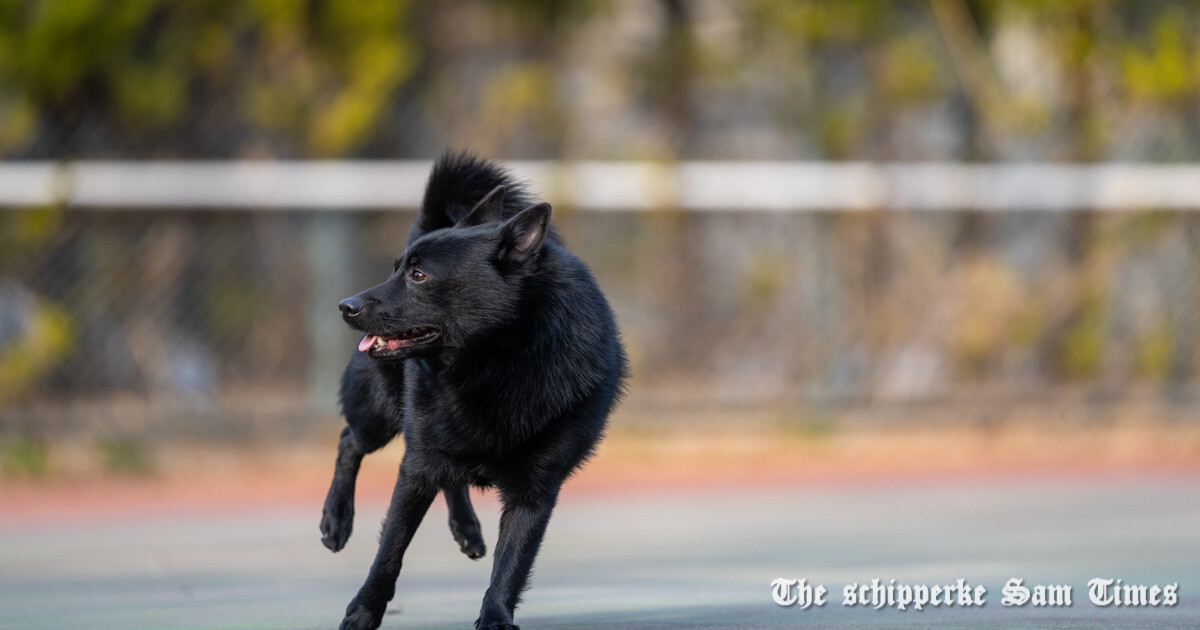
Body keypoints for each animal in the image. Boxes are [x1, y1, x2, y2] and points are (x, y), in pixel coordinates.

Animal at [324, 152, 633, 628]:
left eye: (418, 275)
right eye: (396, 269)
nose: (346, 306)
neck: (496, 365)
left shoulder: (535, 491)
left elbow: (511, 564)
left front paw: (495, 618)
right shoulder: (416, 468)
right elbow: (389, 551)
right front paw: (362, 612)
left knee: (447, 476)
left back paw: (466, 529)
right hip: (381, 414)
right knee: (349, 441)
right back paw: (336, 520)